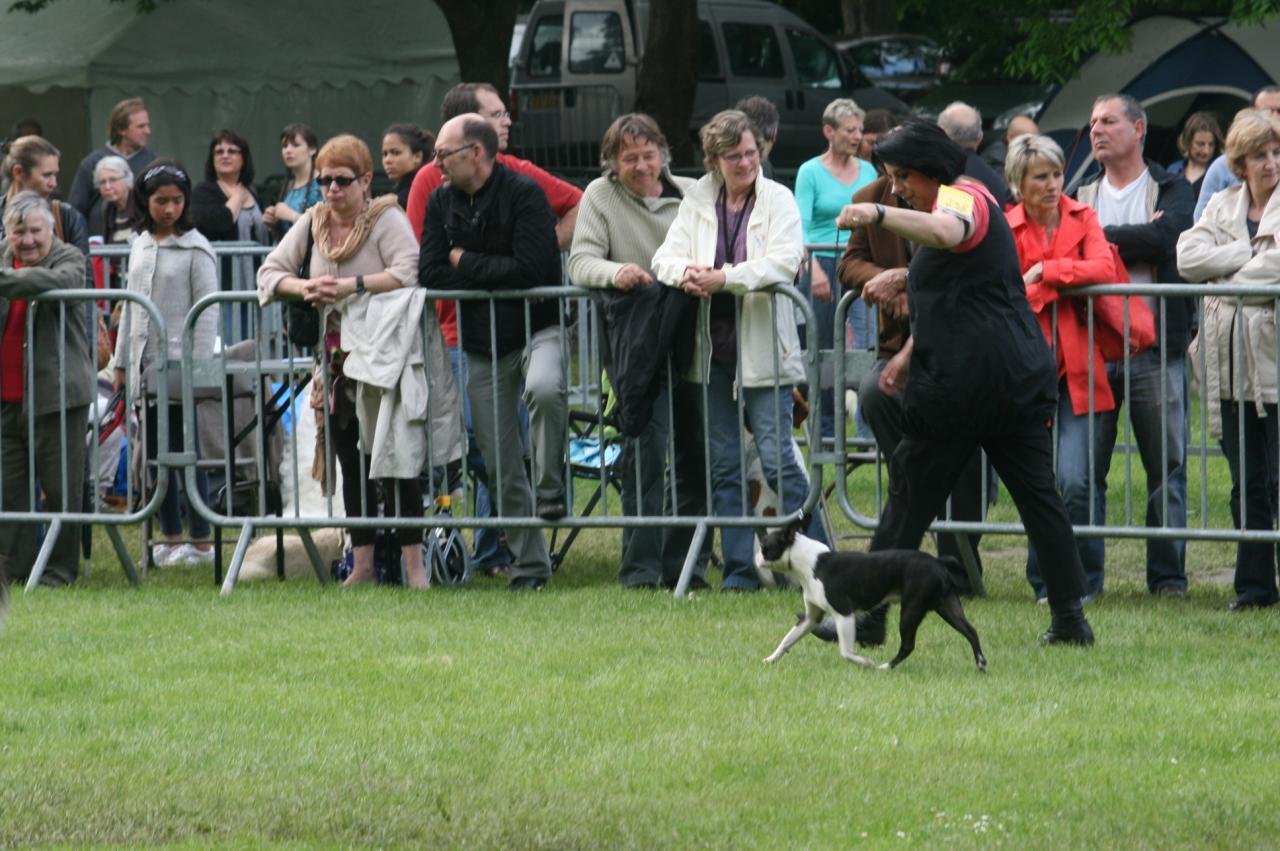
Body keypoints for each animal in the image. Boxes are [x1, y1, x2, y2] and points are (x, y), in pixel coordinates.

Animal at [747, 516, 988, 670]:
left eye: (765, 546)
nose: (755, 556)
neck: (809, 563)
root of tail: (938, 563)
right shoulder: (810, 618)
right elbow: (787, 641)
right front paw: (770, 659)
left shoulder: (844, 614)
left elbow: (846, 651)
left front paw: (864, 663)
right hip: (947, 605)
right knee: (970, 631)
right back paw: (981, 663)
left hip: (911, 609)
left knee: (908, 645)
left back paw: (884, 667)